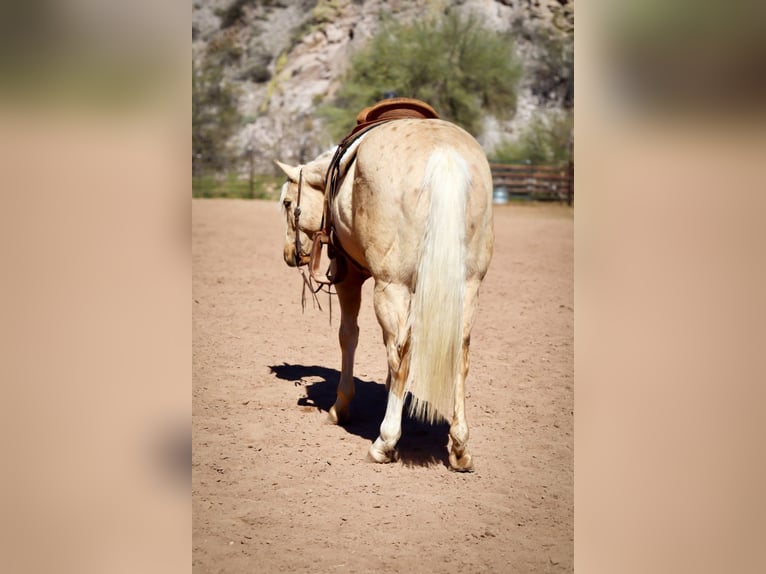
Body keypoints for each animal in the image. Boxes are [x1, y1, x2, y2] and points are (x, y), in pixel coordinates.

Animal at [275, 117, 493, 471]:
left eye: (286, 203)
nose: (289, 255)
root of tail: (443, 152)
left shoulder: (348, 277)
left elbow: (348, 336)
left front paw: (341, 407)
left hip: (391, 286)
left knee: (401, 356)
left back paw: (385, 442)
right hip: (469, 287)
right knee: (459, 355)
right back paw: (459, 449)